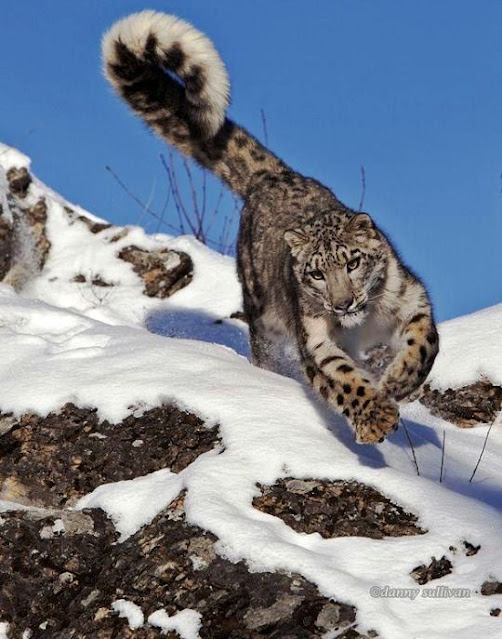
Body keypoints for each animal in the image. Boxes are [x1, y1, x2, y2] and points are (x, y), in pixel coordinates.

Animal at [103, 13, 440, 444]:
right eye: (316, 274)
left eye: (352, 263)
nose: (342, 303)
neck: (362, 326)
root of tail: (274, 175)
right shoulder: (315, 338)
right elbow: (343, 377)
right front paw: (375, 418)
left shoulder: (412, 300)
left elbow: (424, 343)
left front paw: (399, 380)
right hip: (262, 312)